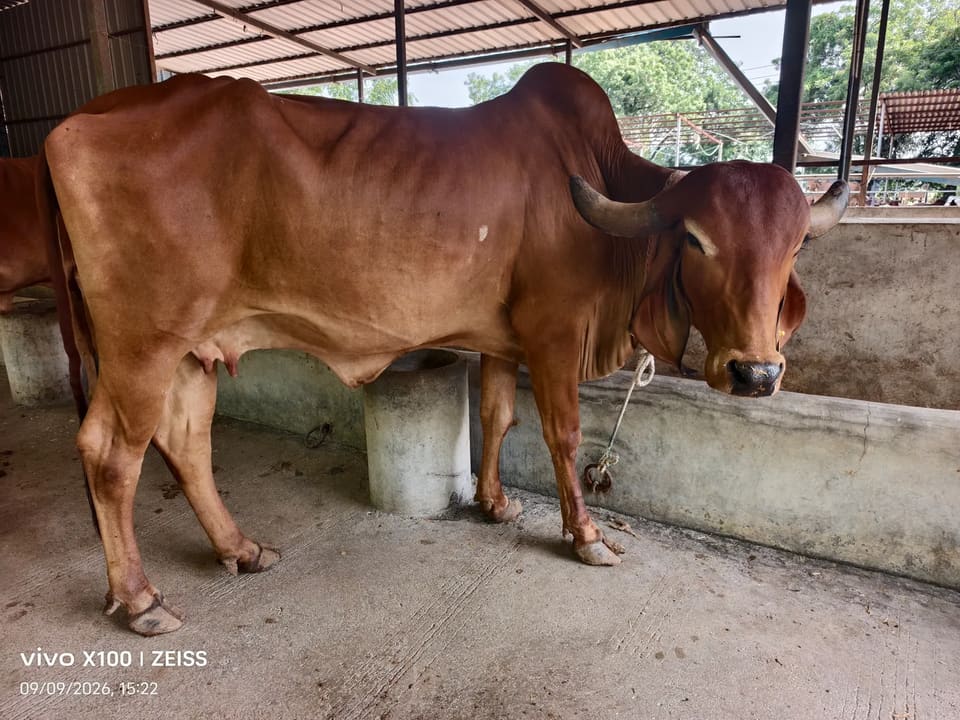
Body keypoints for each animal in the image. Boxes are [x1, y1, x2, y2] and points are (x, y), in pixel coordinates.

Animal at [37, 63, 847, 635]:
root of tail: (72, 124)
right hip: (142, 346)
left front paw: (494, 504)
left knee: (187, 443)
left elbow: (496, 417)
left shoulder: (503, 340)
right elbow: (562, 433)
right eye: (698, 240)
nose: (755, 371)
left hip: (191, 351)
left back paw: (240, 549)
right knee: (110, 456)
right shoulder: (554, 333)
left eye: (794, 244)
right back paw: (140, 599)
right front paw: (585, 535)